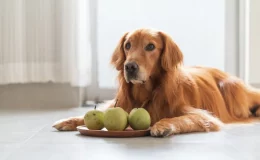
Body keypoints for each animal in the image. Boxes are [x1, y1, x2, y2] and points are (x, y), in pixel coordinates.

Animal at [52, 28, 260, 137]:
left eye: (151, 46)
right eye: (128, 45)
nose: (129, 66)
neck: (146, 92)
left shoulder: (205, 116)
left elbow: (182, 118)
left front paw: (163, 125)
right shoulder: (118, 105)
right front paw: (68, 120)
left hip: (233, 90)